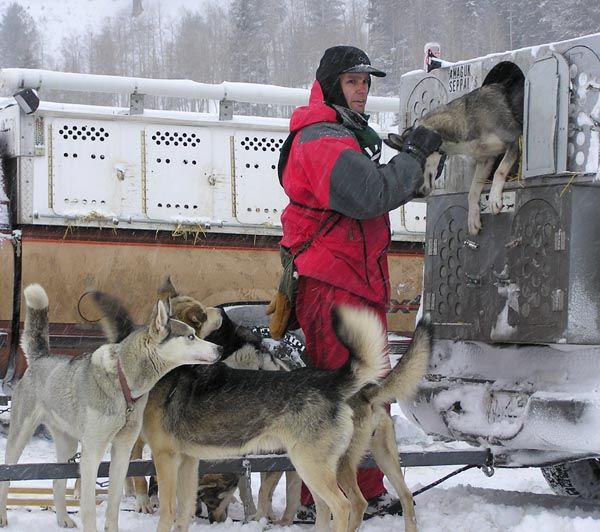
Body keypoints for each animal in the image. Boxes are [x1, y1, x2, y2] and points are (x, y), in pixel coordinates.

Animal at [0, 284, 221, 528]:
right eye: (190, 336)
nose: (220, 349)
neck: (124, 386)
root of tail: (41, 358)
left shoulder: (122, 451)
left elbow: (113, 505)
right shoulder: (92, 452)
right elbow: (88, 508)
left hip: (68, 443)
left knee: (57, 482)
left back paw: (63, 519)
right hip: (20, 437)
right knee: (7, 478)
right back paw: (3, 517)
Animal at [386, 76, 524, 234]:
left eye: (419, 161)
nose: (418, 194)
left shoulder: (514, 141)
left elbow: (499, 171)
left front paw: (494, 198)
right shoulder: (486, 160)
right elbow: (472, 192)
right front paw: (472, 219)